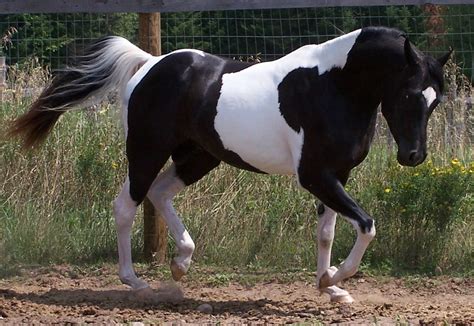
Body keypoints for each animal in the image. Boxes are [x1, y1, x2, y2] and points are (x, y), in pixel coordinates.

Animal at [9, 26, 450, 304]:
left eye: (435, 100)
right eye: (409, 94)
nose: (413, 157)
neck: (334, 86)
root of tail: (149, 63)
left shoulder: (335, 176)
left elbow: (327, 233)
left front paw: (329, 286)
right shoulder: (315, 176)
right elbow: (367, 224)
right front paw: (337, 278)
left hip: (199, 157)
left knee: (159, 193)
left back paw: (181, 264)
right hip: (147, 151)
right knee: (127, 205)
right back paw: (136, 282)